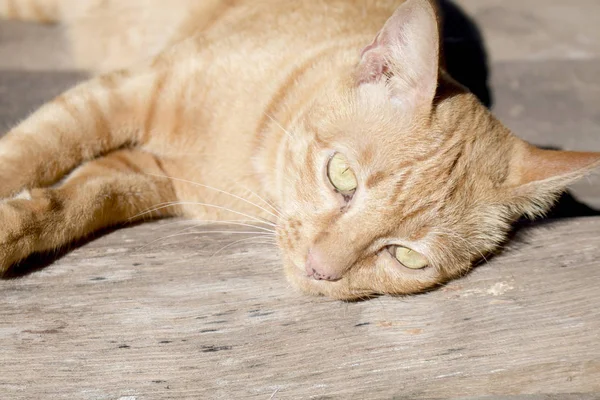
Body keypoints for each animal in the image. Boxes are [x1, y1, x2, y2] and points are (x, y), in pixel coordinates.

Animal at [1, 0, 600, 300]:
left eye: (408, 257)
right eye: (342, 176)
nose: (319, 270)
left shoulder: (146, 175)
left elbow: (73, 202)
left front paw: (21, 226)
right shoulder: (125, 91)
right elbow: (34, 150)